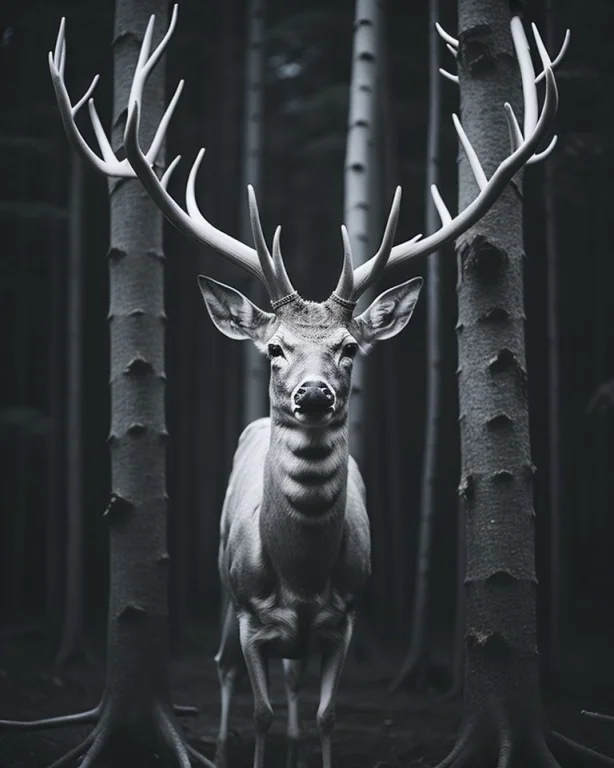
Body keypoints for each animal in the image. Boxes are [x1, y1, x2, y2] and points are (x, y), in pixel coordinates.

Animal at [47, 5, 559, 767]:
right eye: (275, 348)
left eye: (349, 347)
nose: (312, 394)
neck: (302, 578)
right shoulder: (250, 614)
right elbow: (257, 708)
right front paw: (247, 743)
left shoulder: (344, 620)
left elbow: (322, 715)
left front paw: (306, 739)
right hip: (222, 586)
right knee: (227, 672)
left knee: (293, 689)